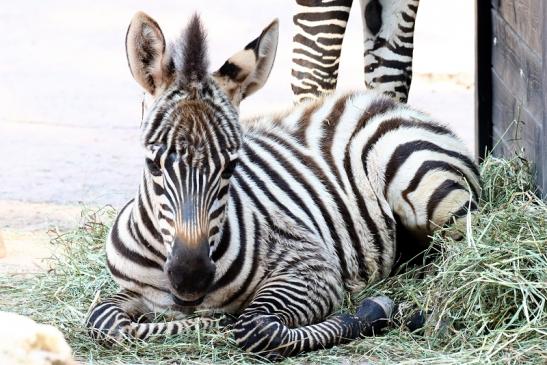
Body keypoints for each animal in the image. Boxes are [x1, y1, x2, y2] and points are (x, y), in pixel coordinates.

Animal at [86, 10, 480, 358]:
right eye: (153, 164)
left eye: (231, 166)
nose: (190, 278)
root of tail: (383, 103)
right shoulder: (128, 292)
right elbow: (102, 320)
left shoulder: (312, 267)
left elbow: (257, 328)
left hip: (430, 191)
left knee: (459, 256)